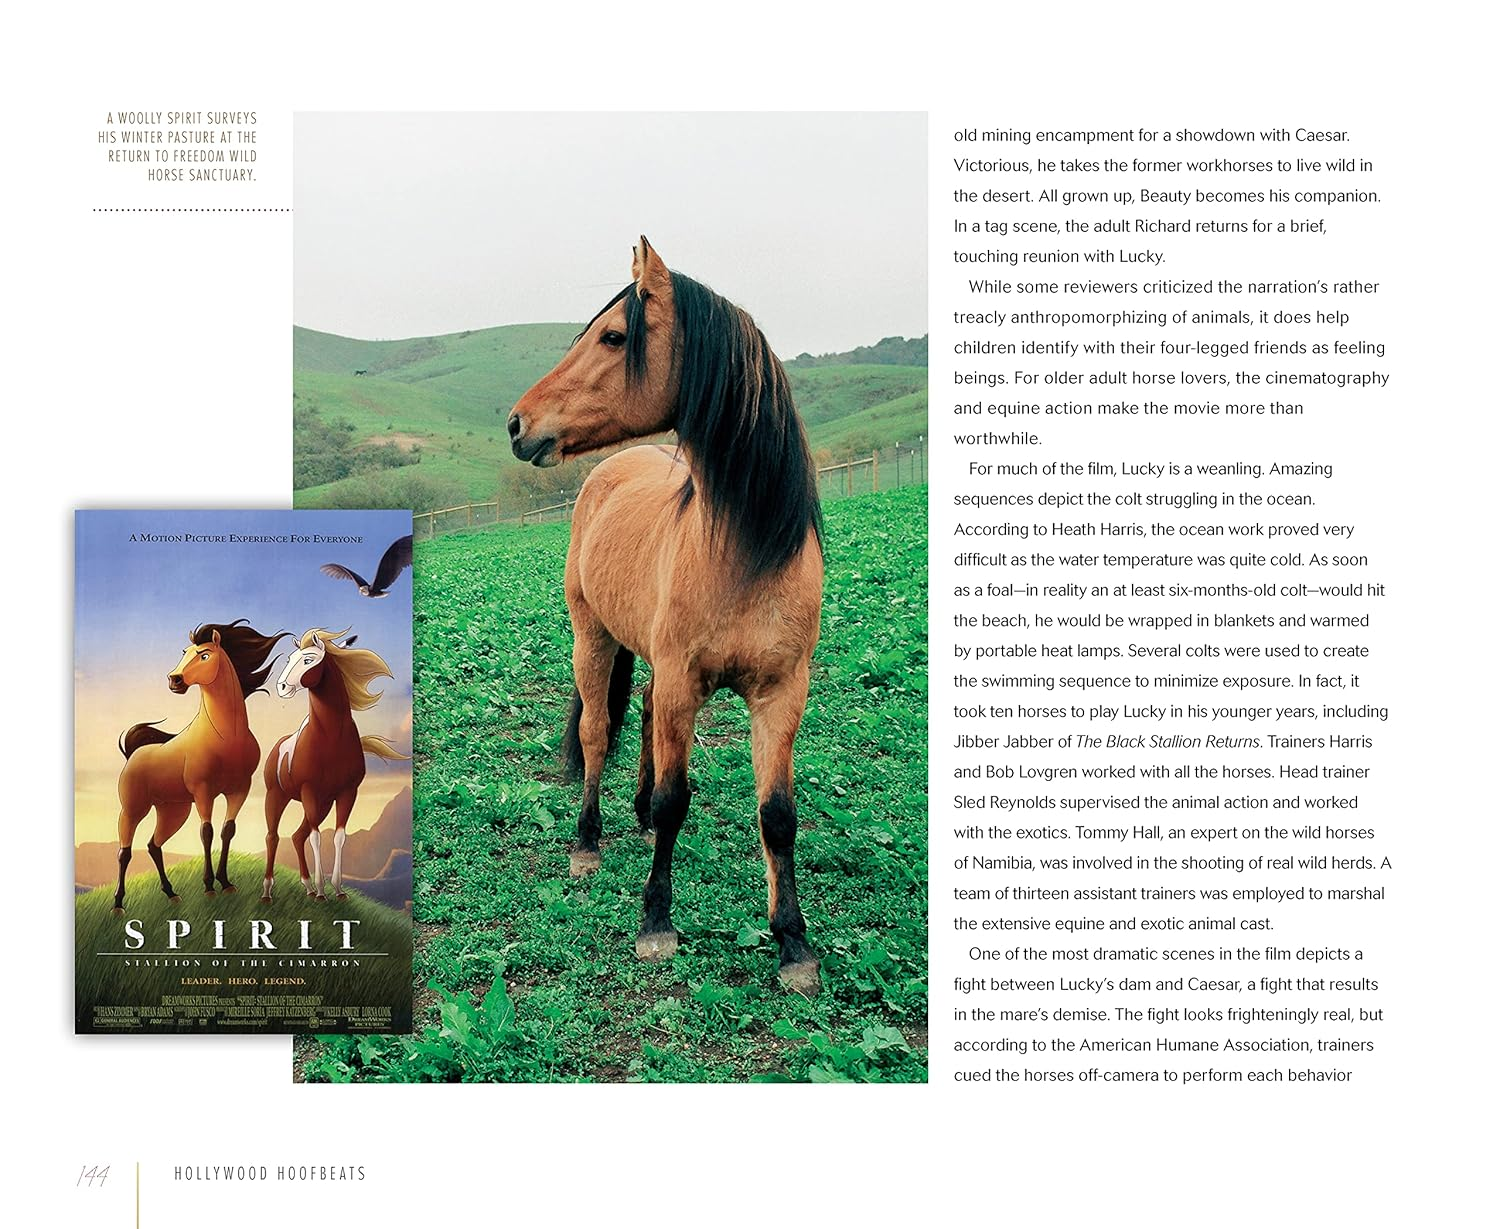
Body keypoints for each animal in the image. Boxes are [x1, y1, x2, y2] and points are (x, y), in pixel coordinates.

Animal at [113, 620, 288, 914]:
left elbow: (228, 830)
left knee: (153, 845)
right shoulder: (204, 792)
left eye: (204, 655)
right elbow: (207, 832)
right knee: (124, 852)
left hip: (174, 811)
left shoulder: (239, 790)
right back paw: (117, 905)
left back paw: (172, 894)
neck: (227, 737)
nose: (174, 680)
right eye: (184, 653)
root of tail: (132, 754)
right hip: (134, 808)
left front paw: (226, 883)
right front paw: (209, 887)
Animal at [262, 628, 407, 902]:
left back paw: (307, 886)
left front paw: (337, 889)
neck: (330, 738)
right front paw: (322, 891)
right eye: (289, 659)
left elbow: (339, 837)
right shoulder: (309, 791)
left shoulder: (347, 793)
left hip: (323, 803)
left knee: (297, 836)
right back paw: (268, 891)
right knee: (273, 837)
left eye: (308, 660)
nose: (282, 687)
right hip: (277, 796)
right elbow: (317, 838)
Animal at [507, 237, 825, 995]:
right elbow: (678, 798)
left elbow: (778, 815)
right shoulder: (686, 680)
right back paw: (588, 840)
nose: (518, 422)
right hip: (591, 637)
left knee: (645, 712)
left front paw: (792, 942)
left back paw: (637, 815)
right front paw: (656, 921)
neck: (747, 550)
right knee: (596, 734)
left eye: (613, 337)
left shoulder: (782, 692)